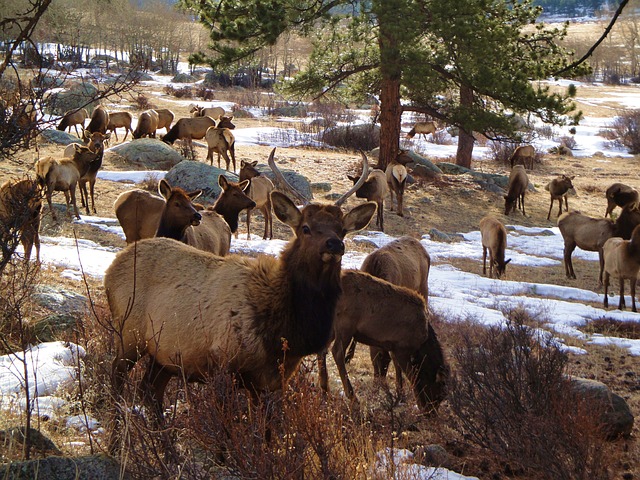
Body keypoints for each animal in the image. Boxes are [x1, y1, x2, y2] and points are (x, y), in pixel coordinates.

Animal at [104, 154, 376, 454]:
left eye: (343, 230)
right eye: (305, 228)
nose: (334, 244)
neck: (282, 329)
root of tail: (112, 268)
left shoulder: (271, 381)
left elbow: (266, 434)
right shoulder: (224, 364)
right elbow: (225, 434)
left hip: (164, 354)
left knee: (150, 391)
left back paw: (168, 451)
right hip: (129, 333)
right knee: (116, 378)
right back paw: (115, 444)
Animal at [318, 270, 448, 412]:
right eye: (438, 392)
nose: (430, 413)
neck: (422, 342)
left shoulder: (392, 346)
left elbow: (394, 368)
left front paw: (398, 395)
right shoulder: (402, 348)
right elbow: (412, 376)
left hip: (333, 326)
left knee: (322, 350)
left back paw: (325, 389)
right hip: (345, 324)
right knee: (337, 352)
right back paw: (352, 397)